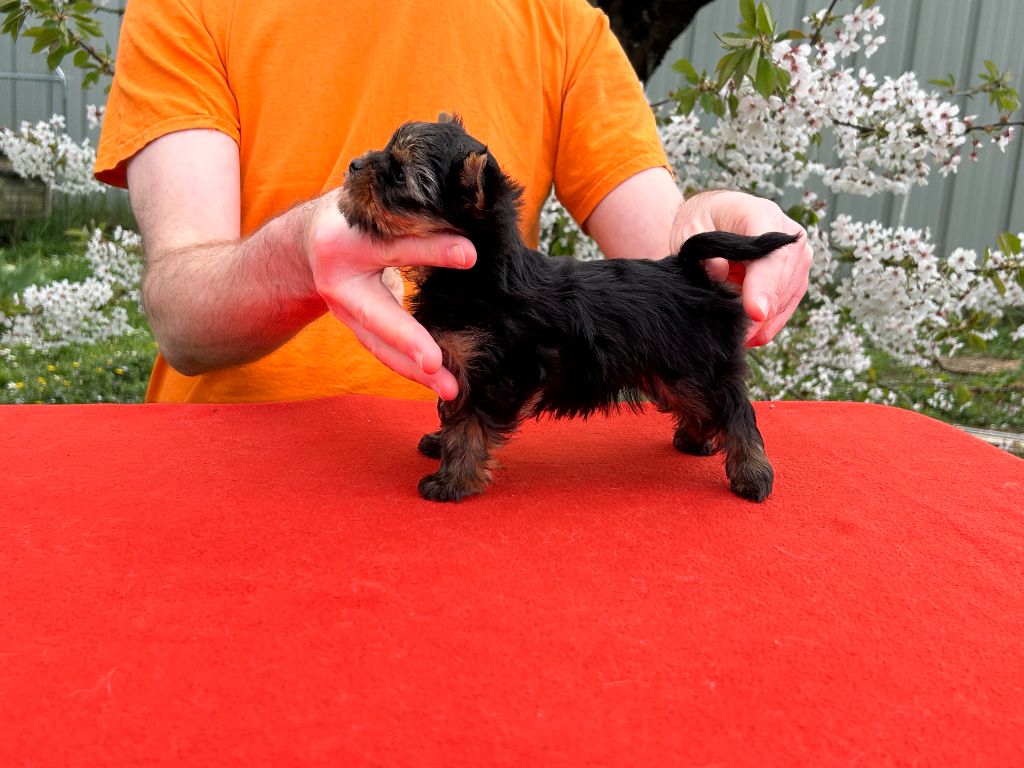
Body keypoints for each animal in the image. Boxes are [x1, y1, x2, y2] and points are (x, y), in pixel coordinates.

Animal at [339, 115, 799, 502]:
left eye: (399, 173)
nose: (354, 164)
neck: (478, 272)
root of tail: (687, 267)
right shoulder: (465, 365)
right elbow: (454, 411)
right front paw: (440, 443)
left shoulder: (498, 370)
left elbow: (470, 423)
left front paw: (454, 480)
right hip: (673, 372)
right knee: (702, 405)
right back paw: (697, 438)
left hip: (700, 365)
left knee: (735, 408)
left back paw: (752, 474)